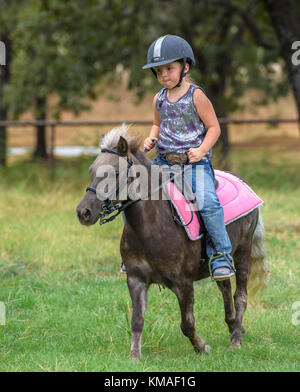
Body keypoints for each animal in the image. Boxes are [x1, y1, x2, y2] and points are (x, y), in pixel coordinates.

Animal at [77, 125, 268, 358]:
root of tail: (242, 181)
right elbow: (136, 320)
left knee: (240, 295)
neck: (153, 227)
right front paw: (134, 356)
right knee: (224, 286)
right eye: (91, 171)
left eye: (115, 172)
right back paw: (233, 327)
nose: (83, 212)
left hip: (243, 252)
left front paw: (202, 347)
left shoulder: (183, 283)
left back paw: (236, 340)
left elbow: (187, 324)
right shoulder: (136, 280)